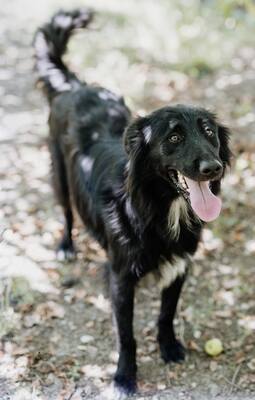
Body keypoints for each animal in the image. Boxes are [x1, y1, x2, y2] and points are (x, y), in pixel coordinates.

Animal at [33, 9, 231, 396]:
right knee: (66, 212)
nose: (213, 168)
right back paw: (66, 246)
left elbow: (166, 314)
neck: (158, 210)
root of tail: (76, 86)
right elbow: (126, 335)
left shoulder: (180, 266)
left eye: (210, 133)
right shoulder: (121, 278)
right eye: (174, 137)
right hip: (60, 175)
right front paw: (125, 376)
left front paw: (169, 347)